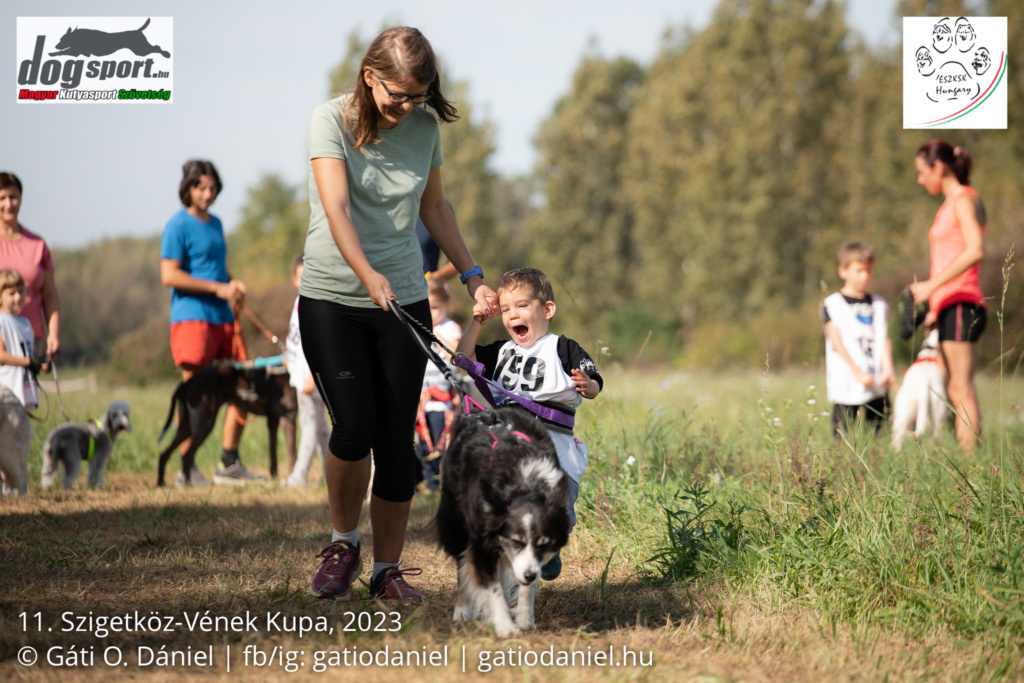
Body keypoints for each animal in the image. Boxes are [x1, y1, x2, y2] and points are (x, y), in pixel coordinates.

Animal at [153, 362, 296, 485]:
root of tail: (187, 383)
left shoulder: (273, 421)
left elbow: (274, 455)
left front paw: (276, 478)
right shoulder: (288, 419)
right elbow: (292, 454)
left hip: (185, 428)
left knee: (164, 455)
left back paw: (161, 483)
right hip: (205, 424)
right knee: (187, 455)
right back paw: (189, 485)